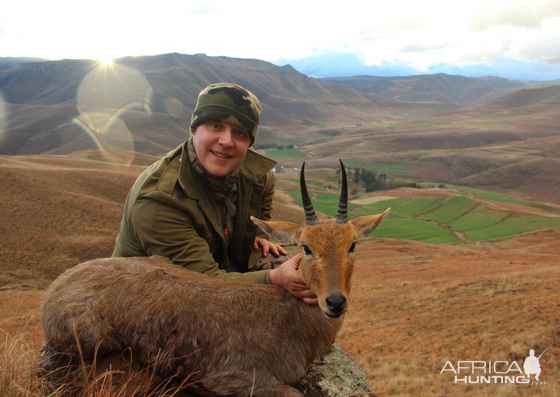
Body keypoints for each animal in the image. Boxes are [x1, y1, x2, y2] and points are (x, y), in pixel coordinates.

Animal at [41, 159, 390, 394]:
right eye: (306, 247)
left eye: (352, 244)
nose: (335, 302)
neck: (291, 317)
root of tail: (55, 288)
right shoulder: (236, 378)